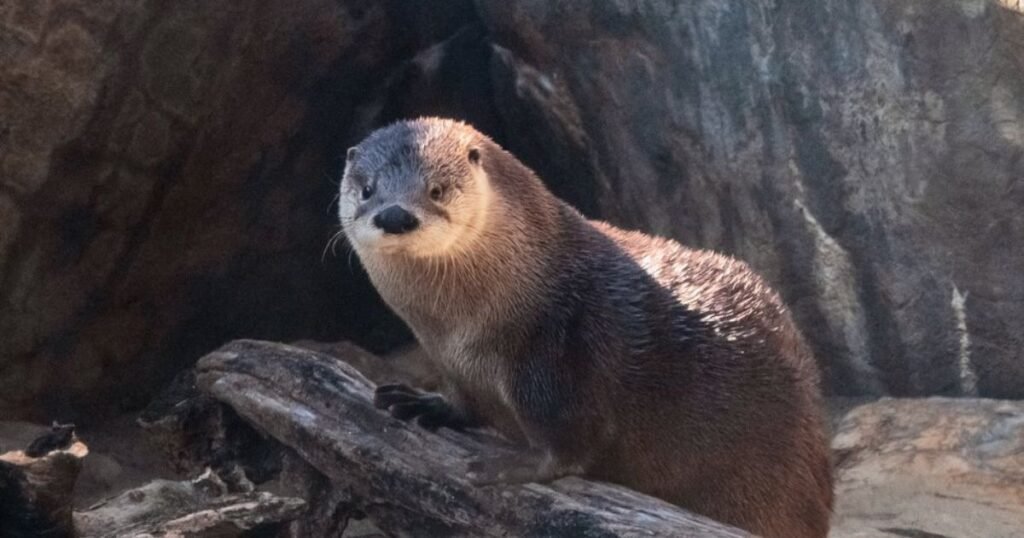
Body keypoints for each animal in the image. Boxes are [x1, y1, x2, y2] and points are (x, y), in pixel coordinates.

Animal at [338, 118, 833, 537]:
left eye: (437, 190)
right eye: (367, 189)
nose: (395, 215)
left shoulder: (560, 350)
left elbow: (570, 440)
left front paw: (509, 466)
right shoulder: (453, 363)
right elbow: (464, 401)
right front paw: (422, 403)